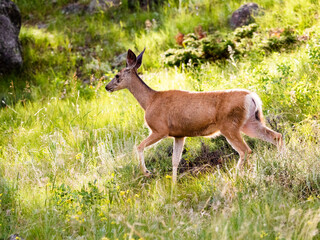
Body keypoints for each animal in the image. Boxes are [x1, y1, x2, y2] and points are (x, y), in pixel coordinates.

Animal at [105, 48, 282, 184]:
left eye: (117, 75)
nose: (107, 87)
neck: (150, 100)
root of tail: (252, 96)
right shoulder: (179, 135)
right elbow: (175, 161)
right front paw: (174, 186)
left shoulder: (160, 129)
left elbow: (139, 146)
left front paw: (147, 172)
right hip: (249, 122)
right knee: (276, 136)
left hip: (229, 126)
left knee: (246, 150)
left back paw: (236, 175)